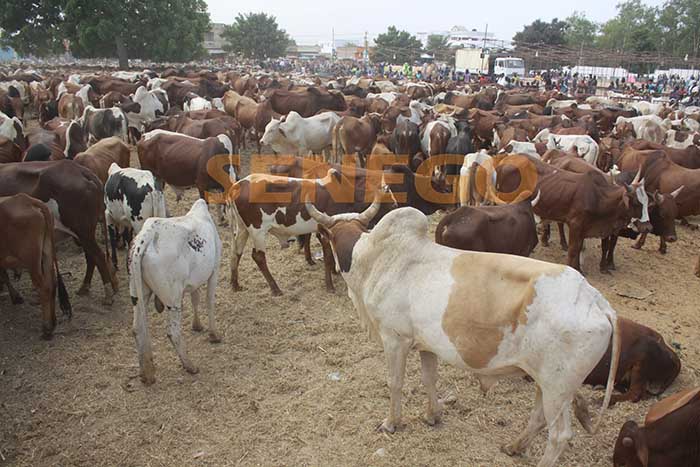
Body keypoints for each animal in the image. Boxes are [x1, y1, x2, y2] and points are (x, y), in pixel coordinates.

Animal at [0, 192, 72, 338]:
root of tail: (27, 200)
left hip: (32, 261)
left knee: (44, 287)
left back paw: (47, 328)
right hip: (47, 254)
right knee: (52, 283)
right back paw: (53, 322)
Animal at [129, 199, 221, 386]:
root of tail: (147, 236)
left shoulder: (194, 281)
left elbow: (195, 299)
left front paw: (197, 326)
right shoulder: (214, 270)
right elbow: (209, 301)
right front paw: (213, 334)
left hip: (138, 293)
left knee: (137, 328)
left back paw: (146, 374)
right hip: (173, 299)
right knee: (173, 332)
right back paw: (190, 366)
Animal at [304, 204, 616, 467]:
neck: (375, 258)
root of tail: (596, 300)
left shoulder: (395, 339)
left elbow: (394, 383)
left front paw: (391, 423)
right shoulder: (426, 345)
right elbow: (429, 379)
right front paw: (432, 415)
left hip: (557, 387)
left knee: (559, 436)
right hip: (547, 383)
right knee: (539, 418)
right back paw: (514, 447)